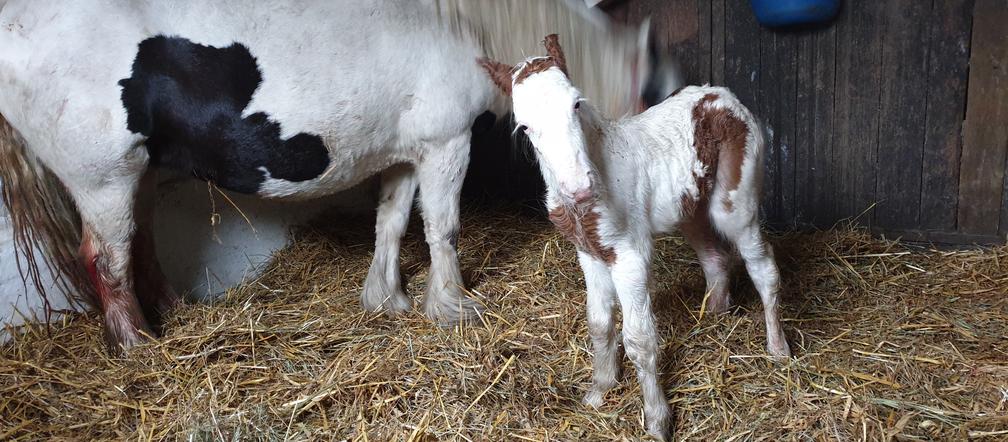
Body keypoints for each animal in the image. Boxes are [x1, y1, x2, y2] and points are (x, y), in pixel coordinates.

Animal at [0, 0, 685, 353]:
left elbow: (392, 223)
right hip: (104, 181)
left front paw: (389, 299)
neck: (464, 28)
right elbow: (442, 229)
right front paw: (453, 305)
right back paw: (141, 347)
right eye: (654, 86)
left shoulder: (406, 155)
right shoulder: (445, 147)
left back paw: (172, 315)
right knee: (107, 261)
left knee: (138, 248)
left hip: (134, 176)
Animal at [475, 36, 790, 439]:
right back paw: (715, 316)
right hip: (690, 208)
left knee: (762, 266)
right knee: (715, 258)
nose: (579, 188)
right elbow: (598, 322)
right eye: (525, 127)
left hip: (735, 204)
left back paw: (778, 348)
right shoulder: (590, 253)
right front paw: (599, 391)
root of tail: (721, 95)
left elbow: (639, 338)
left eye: (576, 103)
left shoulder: (629, 255)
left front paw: (657, 421)